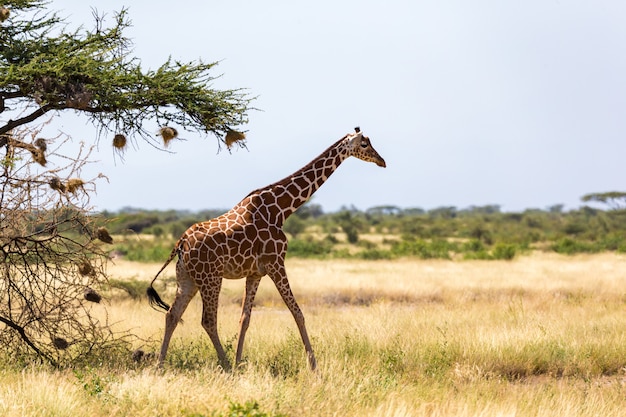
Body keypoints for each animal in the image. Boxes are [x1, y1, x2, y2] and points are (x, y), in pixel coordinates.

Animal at [147, 125, 386, 368]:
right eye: (364, 144)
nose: (382, 161)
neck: (280, 211)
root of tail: (181, 243)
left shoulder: (255, 273)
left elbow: (245, 319)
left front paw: (240, 362)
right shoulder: (276, 263)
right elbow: (297, 312)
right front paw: (314, 366)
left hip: (187, 278)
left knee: (172, 315)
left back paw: (160, 366)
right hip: (210, 278)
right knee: (208, 320)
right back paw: (225, 366)